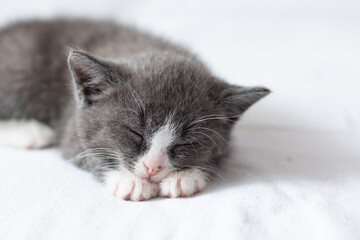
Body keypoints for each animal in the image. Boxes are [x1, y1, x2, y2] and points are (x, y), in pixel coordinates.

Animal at [0, 19, 270, 201]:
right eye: (135, 132)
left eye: (187, 142)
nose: (153, 168)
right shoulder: (72, 122)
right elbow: (84, 151)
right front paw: (128, 180)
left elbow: (221, 155)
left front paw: (186, 177)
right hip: (20, 65)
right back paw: (29, 132)